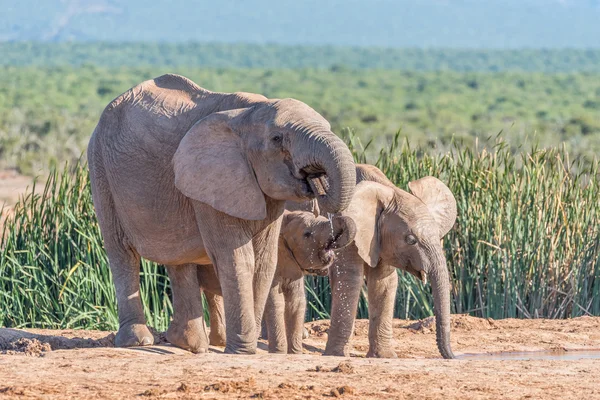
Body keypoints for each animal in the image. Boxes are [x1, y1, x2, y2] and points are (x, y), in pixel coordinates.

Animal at [86, 74, 354, 354]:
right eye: (277, 139)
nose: (317, 181)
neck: (249, 113)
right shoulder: (210, 180)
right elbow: (238, 257)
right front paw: (242, 351)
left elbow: (264, 261)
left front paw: (244, 348)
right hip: (100, 168)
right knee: (122, 252)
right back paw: (138, 341)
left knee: (178, 257)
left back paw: (189, 344)